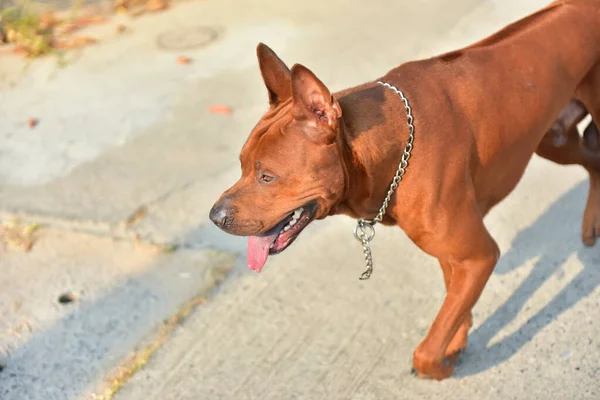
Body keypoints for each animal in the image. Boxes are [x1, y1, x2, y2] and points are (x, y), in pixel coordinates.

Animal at [210, 0, 600, 380]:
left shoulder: (479, 256)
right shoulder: (454, 253)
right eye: (242, 165)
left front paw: (440, 365)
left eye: (267, 177)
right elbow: (452, 305)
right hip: (554, 139)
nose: (214, 217)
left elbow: (426, 350)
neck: (393, 147)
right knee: (593, 162)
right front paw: (457, 339)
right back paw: (590, 224)